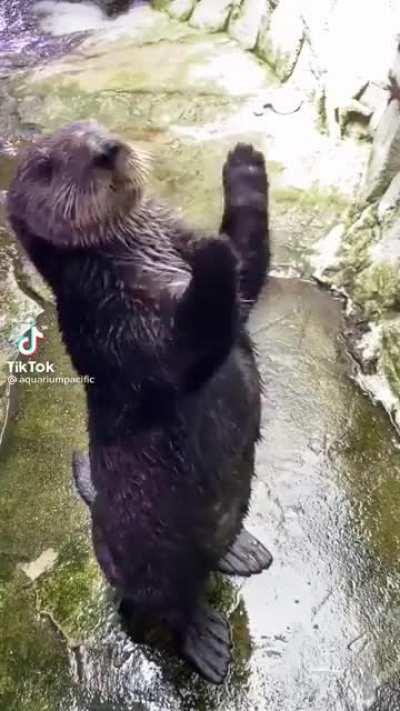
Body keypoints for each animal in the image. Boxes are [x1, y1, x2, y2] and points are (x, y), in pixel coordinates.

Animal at [7, 122, 272, 684]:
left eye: (93, 127)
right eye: (47, 166)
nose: (105, 150)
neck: (143, 258)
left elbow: (249, 272)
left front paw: (243, 167)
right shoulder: (114, 324)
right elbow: (186, 348)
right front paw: (215, 251)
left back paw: (243, 551)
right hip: (152, 565)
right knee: (168, 607)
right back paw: (206, 641)